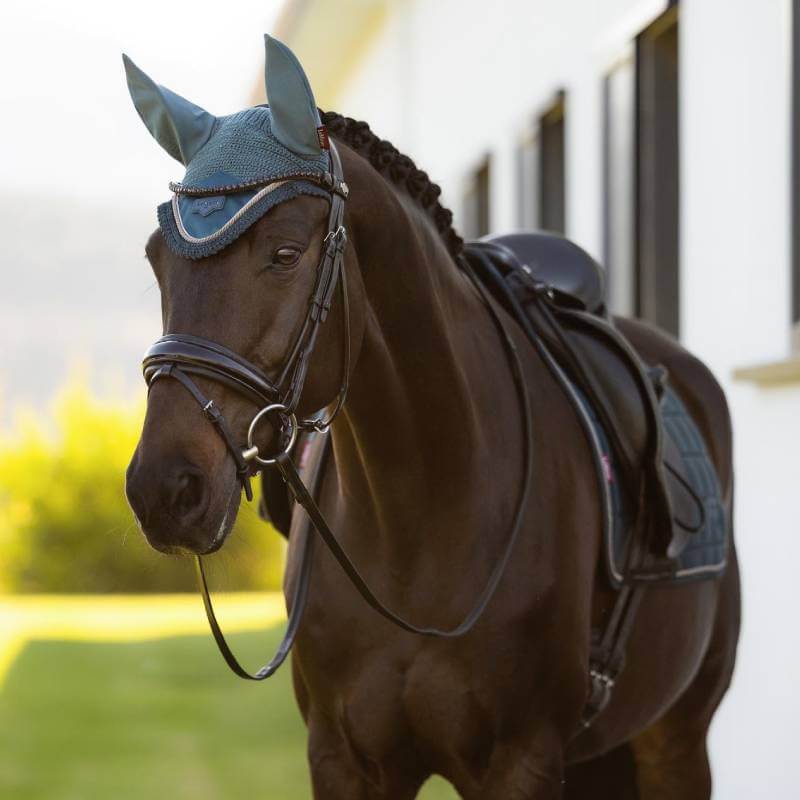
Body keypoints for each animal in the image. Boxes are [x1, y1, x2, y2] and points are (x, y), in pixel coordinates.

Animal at [124, 36, 740, 799]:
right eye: (157, 259)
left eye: (285, 253)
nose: (163, 489)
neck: (417, 523)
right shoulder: (345, 759)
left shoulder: (522, 762)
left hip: (675, 741)